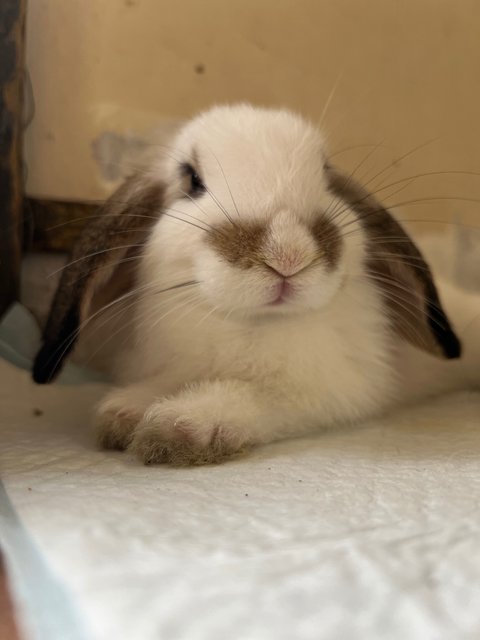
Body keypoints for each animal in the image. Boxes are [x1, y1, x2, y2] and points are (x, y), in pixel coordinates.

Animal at [31, 104, 480, 464]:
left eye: (325, 175)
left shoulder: (321, 390)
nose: (288, 255)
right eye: (192, 180)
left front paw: (180, 425)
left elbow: (248, 395)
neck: (250, 321)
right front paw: (125, 412)